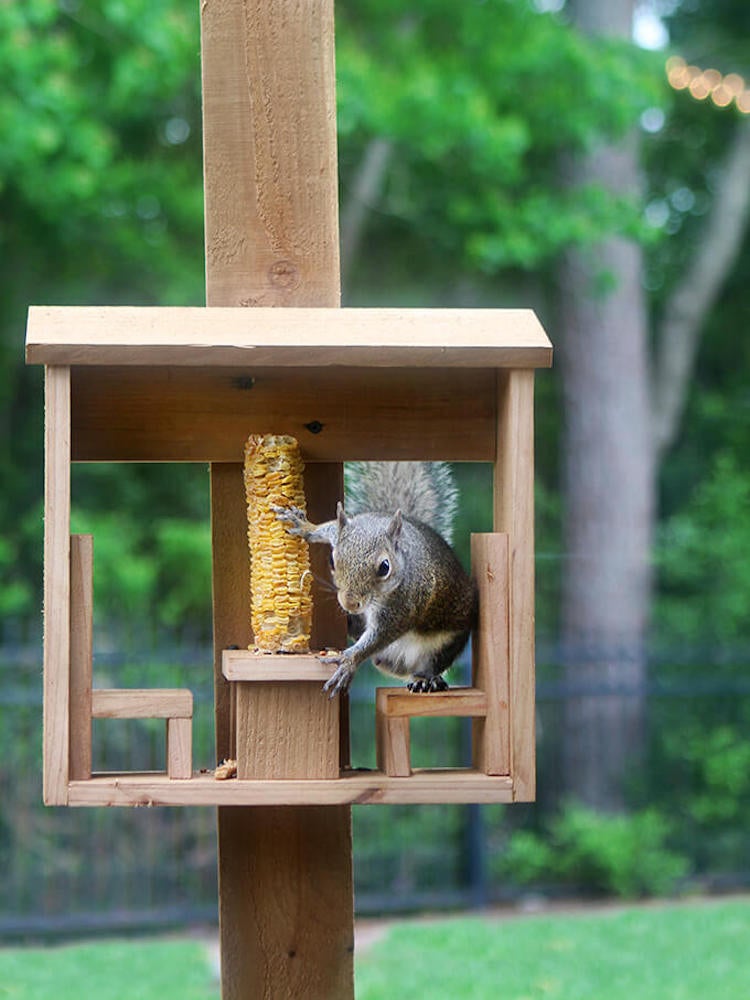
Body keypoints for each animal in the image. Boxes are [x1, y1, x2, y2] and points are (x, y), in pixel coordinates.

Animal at [274, 460, 478, 696]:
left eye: (384, 567)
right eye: (332, 561)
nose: (350, 604)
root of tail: (398, 663)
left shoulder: (403, 606)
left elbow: (378, 637)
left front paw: (348, 661)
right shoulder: (344, 528)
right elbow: (329, 527)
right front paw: (304, 526)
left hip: (444, 645)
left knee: (430, 665)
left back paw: (426, 680)